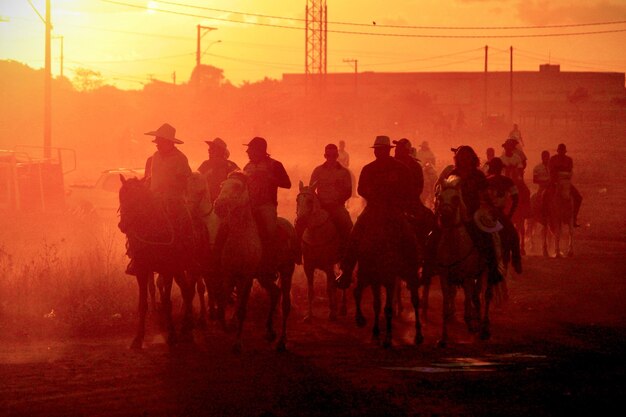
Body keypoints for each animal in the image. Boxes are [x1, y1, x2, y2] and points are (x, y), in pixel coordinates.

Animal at [212, 172, 298, 352]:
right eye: (222, 185)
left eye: (237, 186)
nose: (219, 206)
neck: (241, 237)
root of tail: (289, 226)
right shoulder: (229, 274)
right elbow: (224, 301)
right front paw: (226, 326)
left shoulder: (246, 277)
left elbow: (242, 308)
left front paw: (237, 343)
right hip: (264, 276)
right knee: (275, 292)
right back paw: (270, 331)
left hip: (287, 270)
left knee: (285, 303)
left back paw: (281, 341)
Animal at [294, 181, 348, 322]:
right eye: (297, 200)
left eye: (310, 201)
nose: (300, 221)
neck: (316, 233)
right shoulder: (308, 266)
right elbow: (310, 291)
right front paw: (309, 315)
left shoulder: (328, 266)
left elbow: (329, 288)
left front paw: (332, 314)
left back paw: (342, 308)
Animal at [348, 206, 422, 348]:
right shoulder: (374, 279)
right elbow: (377, 305)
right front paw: (375, 334)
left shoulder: (390, 280)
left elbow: (388, 308)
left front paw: (388, 339)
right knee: (358, 292)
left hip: (409, 274)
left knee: (415, 300)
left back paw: (418, 335)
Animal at [428, 175, 492, 344]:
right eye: (439, 197)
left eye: (456, 198)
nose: (444, 217)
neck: (455, 247)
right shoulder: (445, 277)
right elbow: (446, 305)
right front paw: (443, 338)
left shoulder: (468, 277)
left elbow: (468, 300)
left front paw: (471, 326)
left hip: (484, 272)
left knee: (484, 295)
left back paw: (483, 327)